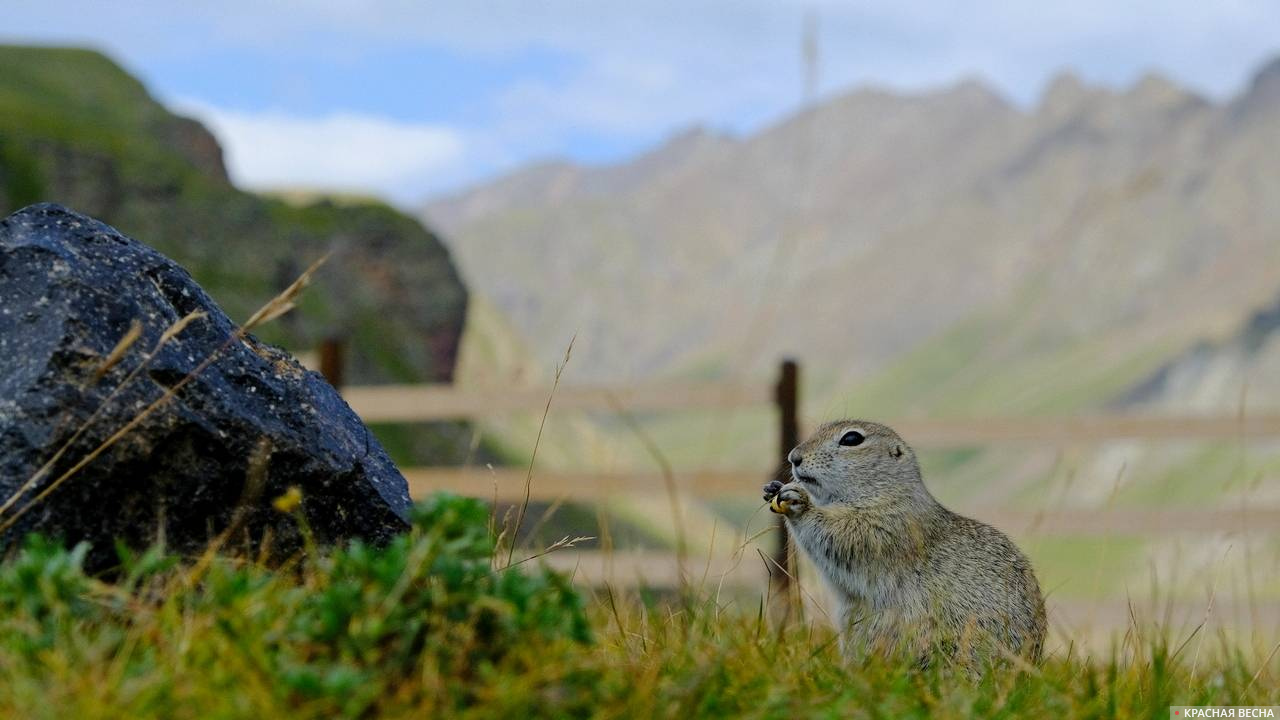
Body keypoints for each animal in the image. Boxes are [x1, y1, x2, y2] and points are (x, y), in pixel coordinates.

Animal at [762, 420, 1044, 661]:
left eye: (852, 438)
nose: (793, 457)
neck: (886, 489)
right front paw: (772, 487)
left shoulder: (886, 526)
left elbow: (842, 535)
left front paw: (800, 502)